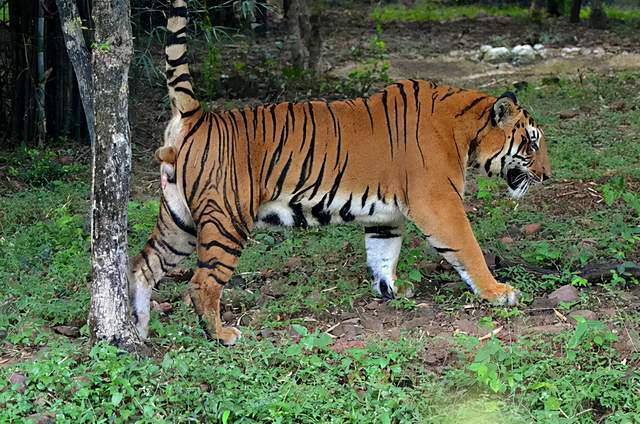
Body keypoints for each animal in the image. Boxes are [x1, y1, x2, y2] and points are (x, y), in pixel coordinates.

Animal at [129, 0, 552, 344]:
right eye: (531, 144)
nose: (548, 175)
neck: (463, 129)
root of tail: (195, 116)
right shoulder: (440, 204)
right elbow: (469, 249)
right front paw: (498, 292)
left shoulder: (386, 217)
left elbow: (383, 254)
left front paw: (391, 291)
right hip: (226, 220)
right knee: (201, 283)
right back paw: (221, 335)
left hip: (178, 222)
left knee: (142, 268)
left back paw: (136, 332)